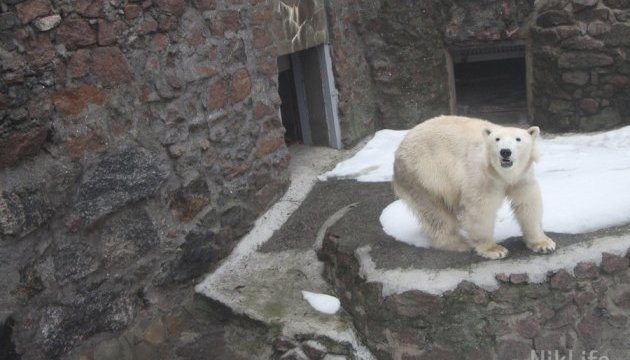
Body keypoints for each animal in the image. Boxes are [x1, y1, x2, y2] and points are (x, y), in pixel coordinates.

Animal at [396, 115, 556, 258]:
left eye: (518, 139)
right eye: (497, 139)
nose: (505, 151)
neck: (502, 174)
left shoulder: (522, 177)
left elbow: (528, 204)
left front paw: (544, 244)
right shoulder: (482, 177)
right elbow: (480, 209)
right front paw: (494, 250)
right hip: (424, 174)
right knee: (436, 213)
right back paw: (459, 244)